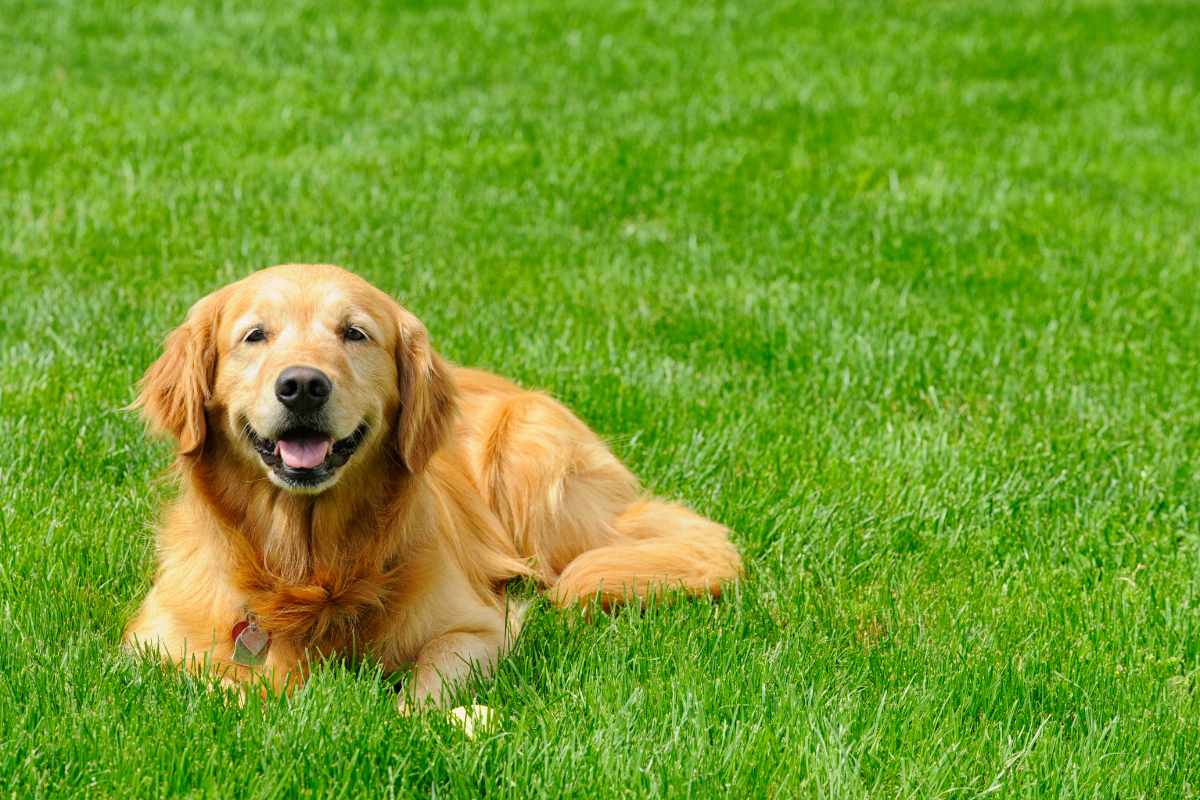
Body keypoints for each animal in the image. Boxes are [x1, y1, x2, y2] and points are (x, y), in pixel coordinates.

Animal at [124, 262, 739, 705]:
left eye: (355, 333)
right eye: (254, 335)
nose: (301, 385)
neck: (310, 570)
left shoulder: (476, 629)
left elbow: (427, 684)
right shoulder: (147, 650)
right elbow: (221, 686)